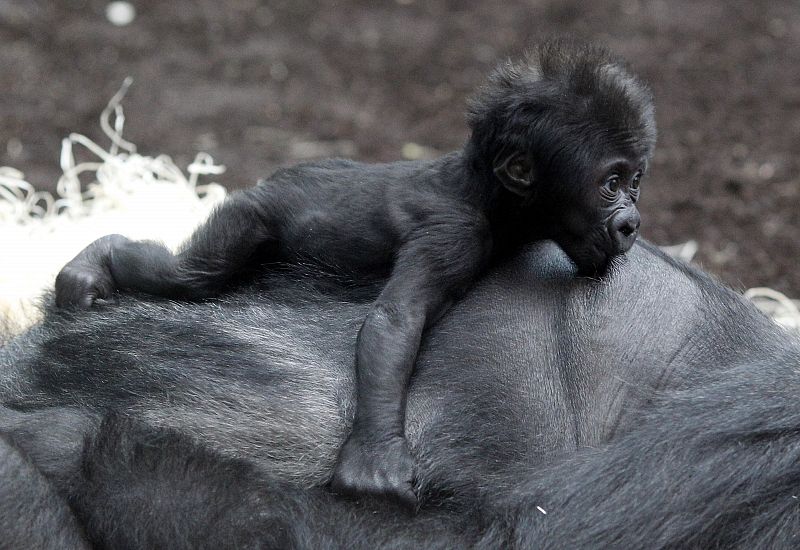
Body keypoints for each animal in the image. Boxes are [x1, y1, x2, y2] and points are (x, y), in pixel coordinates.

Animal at [56, 41, 656, 508]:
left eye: (636, 181)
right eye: (610, 183)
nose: (631, 221)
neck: (492, 196)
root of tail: (280, 174)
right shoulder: (453, 234)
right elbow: (395, 320)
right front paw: (375, 454)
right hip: (253, 213)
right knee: (193, 273)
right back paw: (98, 257)